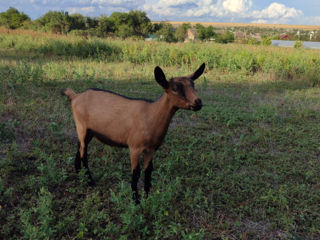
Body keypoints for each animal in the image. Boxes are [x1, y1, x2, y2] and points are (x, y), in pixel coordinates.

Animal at [61, 62, 205, 203]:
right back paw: (90, 181)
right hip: (81, 126)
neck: (151, 115)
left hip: (89, 131)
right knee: (84, 153)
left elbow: (148, 170)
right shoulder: (135, 147)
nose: (198, 102)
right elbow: (136, 173)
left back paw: (79, 173)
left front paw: (147, 196)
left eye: (193, 85)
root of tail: (75, 96)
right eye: (175, 88)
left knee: (79, 147)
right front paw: (136, 200)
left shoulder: (151, 149)